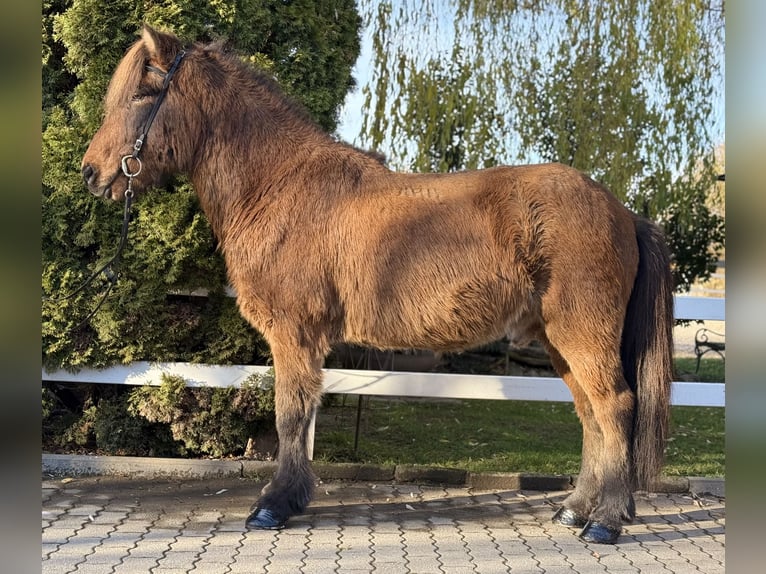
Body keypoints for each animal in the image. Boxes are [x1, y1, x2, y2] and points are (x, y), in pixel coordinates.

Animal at [81, 25, 674, 544]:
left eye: (143, 92)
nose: (90, 173)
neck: (278, 185)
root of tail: (623, 211)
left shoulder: (294, 335)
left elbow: (291, 415)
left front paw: (275, 504)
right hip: (560, 343)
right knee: (591, 416)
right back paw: (575, 510)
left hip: (583, 335)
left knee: (615, 408)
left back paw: (606, 521)